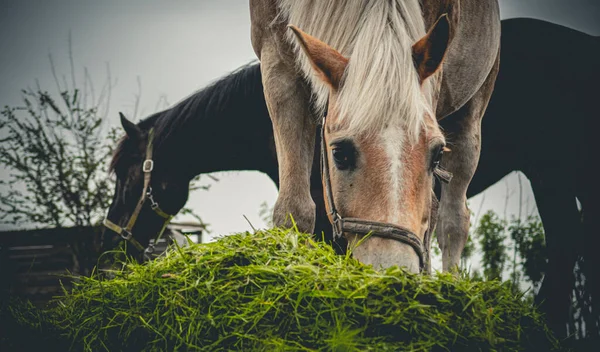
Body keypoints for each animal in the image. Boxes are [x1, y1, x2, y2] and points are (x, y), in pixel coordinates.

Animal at [248, 0, 502, 272]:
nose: (394, 269)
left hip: (472, 112)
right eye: (340, 154)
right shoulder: (278, 65)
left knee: (452, 222)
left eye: (436, 155)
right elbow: (293, 209)